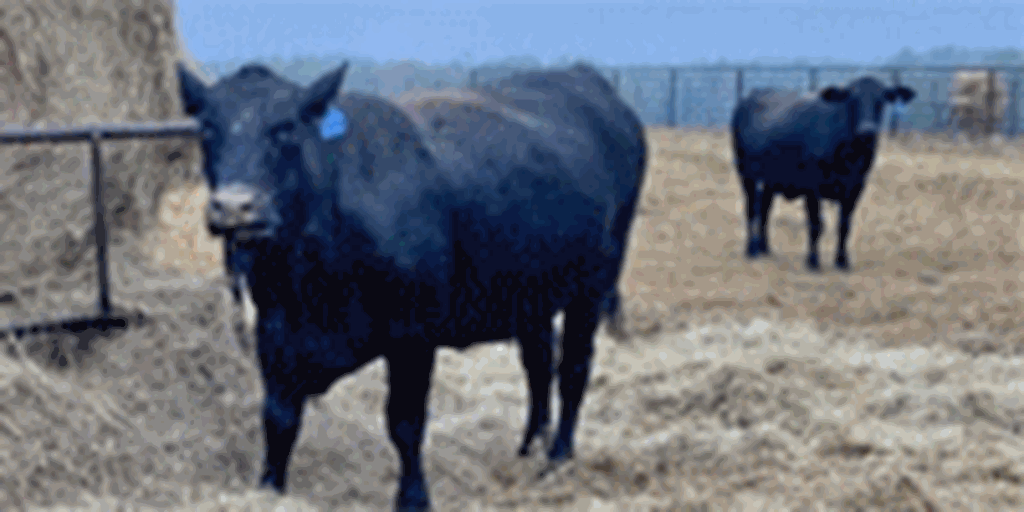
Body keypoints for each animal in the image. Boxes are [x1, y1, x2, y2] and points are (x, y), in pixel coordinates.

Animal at [176, 61, 647, 511]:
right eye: (208, 127)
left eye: (286, 127)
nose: (235, 207)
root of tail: (582, 75)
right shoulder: (273, 329)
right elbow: (278, 418)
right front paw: (269, 489)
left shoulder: (413, 334)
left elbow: (405, 421)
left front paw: (413, 498)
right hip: (532, 293)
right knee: (539, 364)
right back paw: (531, 446)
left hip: (594, 283)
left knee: (573, 369)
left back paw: (559, 457)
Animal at [730, 76, 916, 271]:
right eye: (852, 99)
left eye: (881, 99)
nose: (867, 130)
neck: (850, 156)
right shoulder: (812, 188)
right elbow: (816, 224)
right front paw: (813, 261)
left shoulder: (856, 187)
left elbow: (844, 225)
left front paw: (842, 260)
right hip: (745, 173)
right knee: (751, 209)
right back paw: (751, 249)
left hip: (770, 180)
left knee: (765, 208)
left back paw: (765, 248)